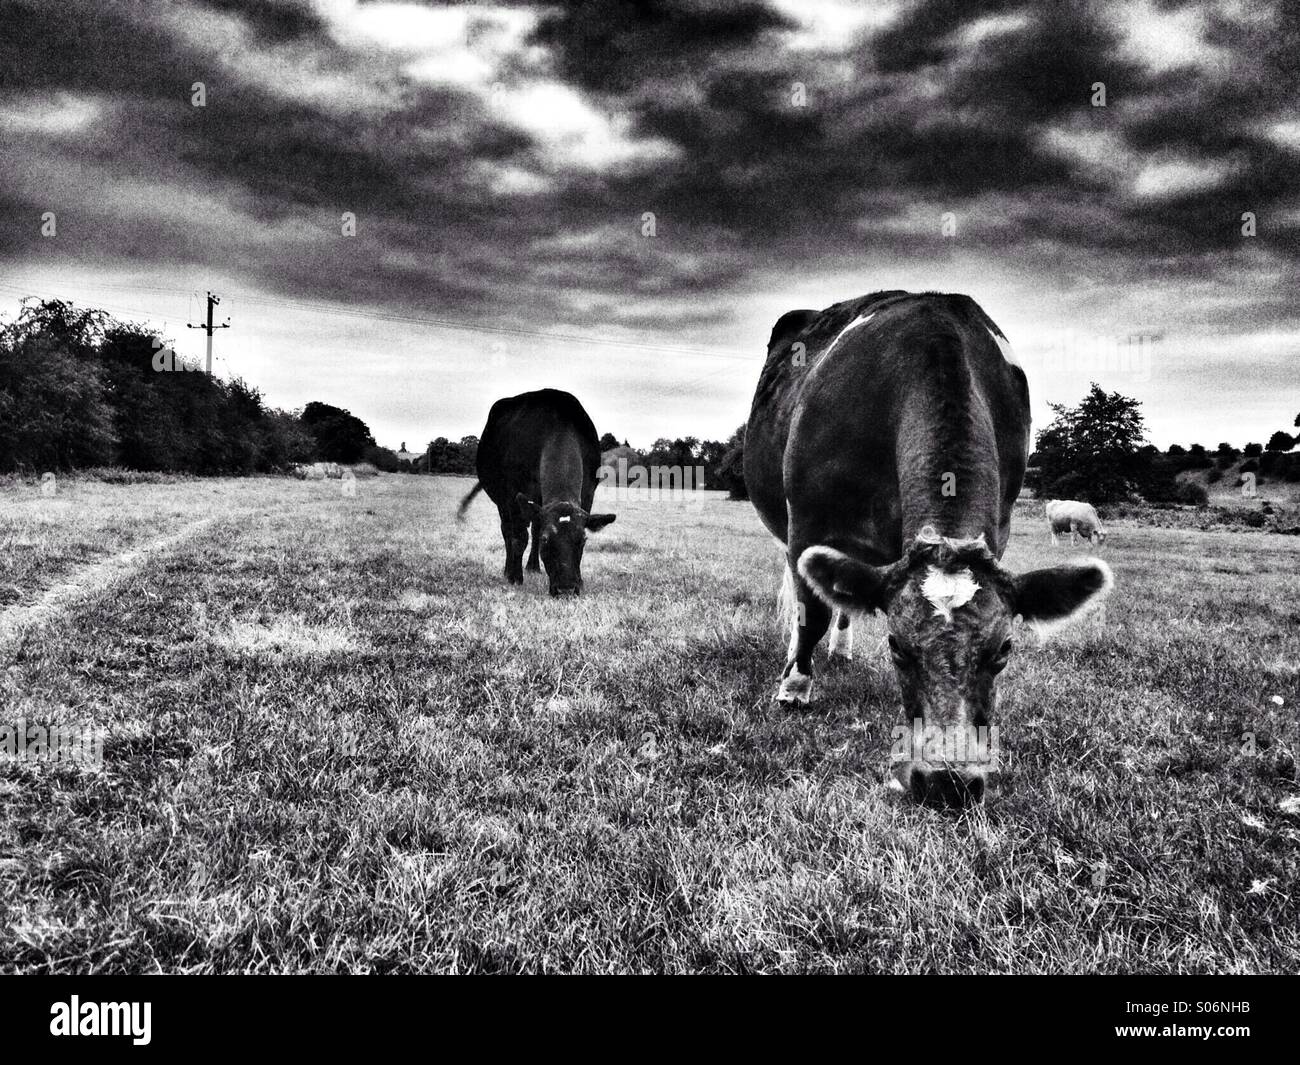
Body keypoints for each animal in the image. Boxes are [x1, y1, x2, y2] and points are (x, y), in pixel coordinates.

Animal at [458, 389, 615, 595]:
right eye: (546, 540)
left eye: (582, 540)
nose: (566, 589)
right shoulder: (513, 495)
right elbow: (518, 537)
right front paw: (515, 577)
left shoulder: (588, 494)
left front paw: (580, 581)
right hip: (502, 500)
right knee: (507, 531)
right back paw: (508, 569)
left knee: (533, 527)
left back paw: (533, 566)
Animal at [744, 290, 1113, 805]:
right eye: (896, 646)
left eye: (1004, 648)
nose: (948, 782)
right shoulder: (809, 522)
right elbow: (810, 612)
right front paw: (795, 687)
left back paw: (841, 649)